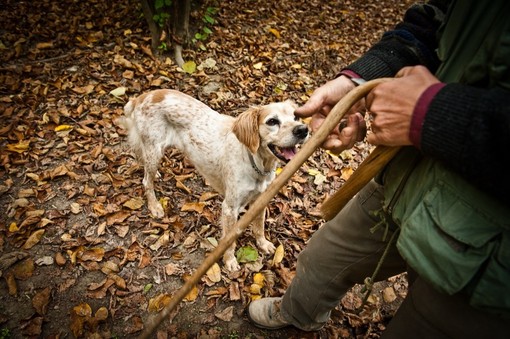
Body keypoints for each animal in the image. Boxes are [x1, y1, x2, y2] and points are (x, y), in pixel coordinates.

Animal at [121, 90, 308, 270]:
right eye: (272, 121)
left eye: (296, 117)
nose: (303, 130)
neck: (256, 163)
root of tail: (143, 96)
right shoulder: (230, 208)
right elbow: (229, 241)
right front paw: (230, 261)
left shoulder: (261, 200)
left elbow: (259, 226)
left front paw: (263, 244)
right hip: (155, 150)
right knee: (146, 181)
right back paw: (154, 206)